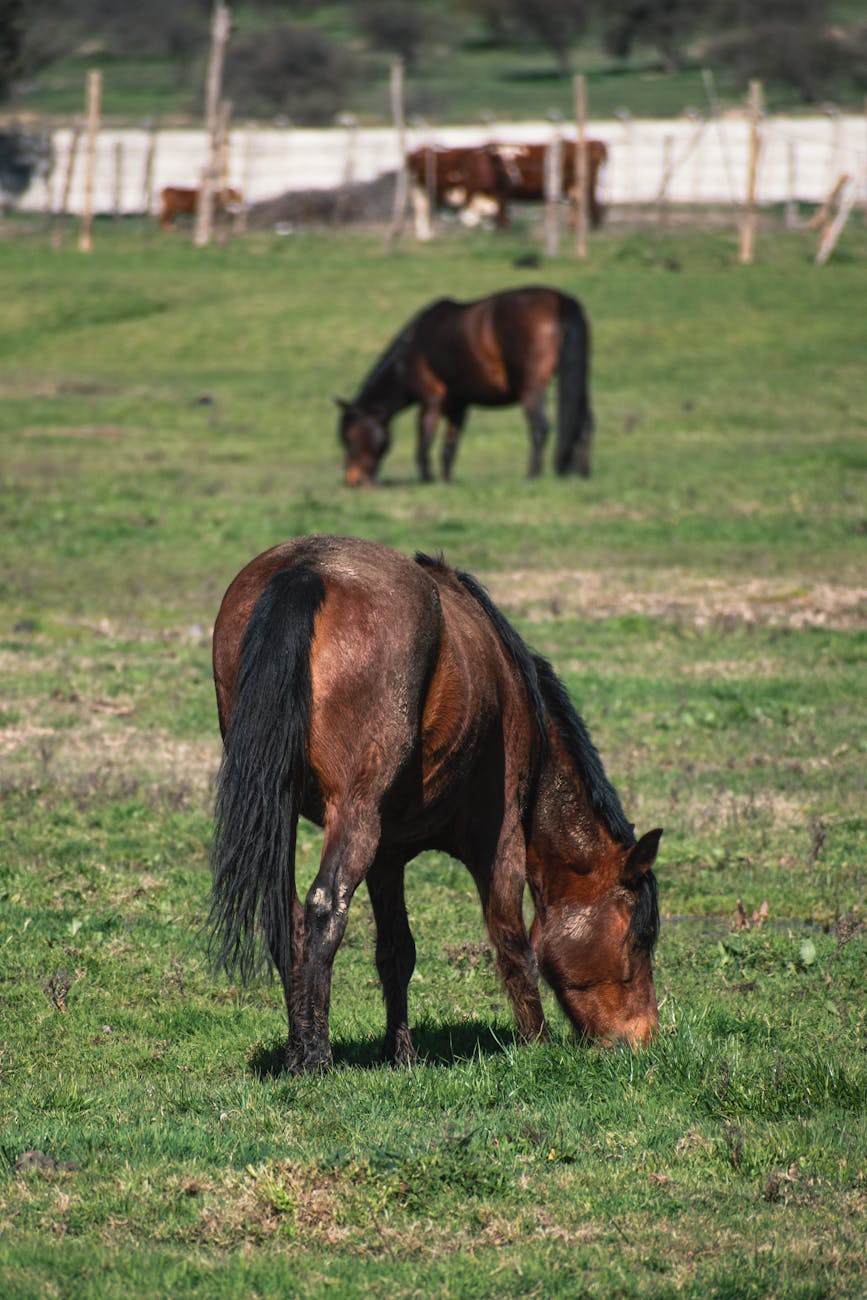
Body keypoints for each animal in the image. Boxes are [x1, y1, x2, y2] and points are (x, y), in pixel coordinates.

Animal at [210, 535, 662, 1075]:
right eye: (640, 937)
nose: (643, 1039)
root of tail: (307, 569)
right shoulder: (500, 838)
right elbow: (513, 940)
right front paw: (537, 1043)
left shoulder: (387, 855)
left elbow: (396, 952)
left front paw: (399, 1052)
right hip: (354, 812)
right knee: (324, 908)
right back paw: (315, 1057)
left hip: (283, 811)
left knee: (287, 919)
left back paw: (299, 1048)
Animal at [336, 286, 594, 486]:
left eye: (350, 435)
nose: (352, 480)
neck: (412, 348)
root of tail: (562, 303)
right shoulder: (458, 406)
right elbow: (449, 447)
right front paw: (446, 482)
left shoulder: (431, 400)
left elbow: (424, 442)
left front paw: (427, 480)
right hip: (577, 383)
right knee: (584, 424)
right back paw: (581, 475)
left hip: (531, 389)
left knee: (539, 427)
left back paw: (532, 476)